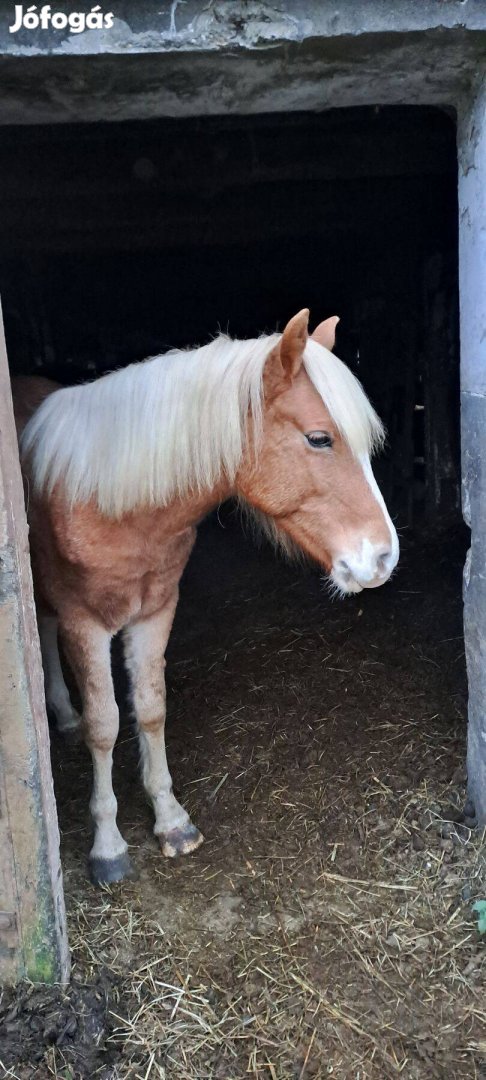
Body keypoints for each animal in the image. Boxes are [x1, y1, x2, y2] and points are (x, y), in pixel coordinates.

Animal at [12, 308, 399, 881]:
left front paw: (172, 821)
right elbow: (104, 725)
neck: (109, 502)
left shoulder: (156, 611)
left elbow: (150, 708)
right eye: (319, 439)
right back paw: (62, 713)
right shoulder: (87, 623)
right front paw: (108, 846)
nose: (383, 558)